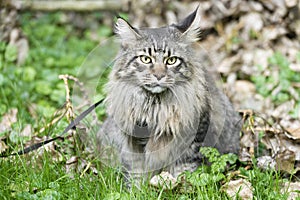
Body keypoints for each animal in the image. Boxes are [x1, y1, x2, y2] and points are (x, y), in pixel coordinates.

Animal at [97, 5, 243, 184]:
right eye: (146, 59)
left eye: (171, 60)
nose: (159, 75)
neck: (154, 105)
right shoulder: (133, 139)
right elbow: (136, 172)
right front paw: (136, 189)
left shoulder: (193, 135)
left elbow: (183, 170)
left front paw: (179, 186)